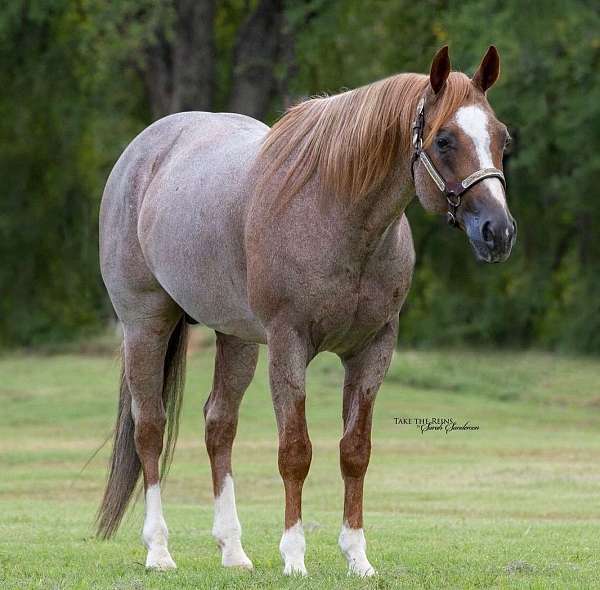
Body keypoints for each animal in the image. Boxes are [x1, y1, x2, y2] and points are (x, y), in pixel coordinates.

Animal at [97, 45, 516, 580]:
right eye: (444, 139)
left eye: (502, 137)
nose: (497, 232)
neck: (333, 214)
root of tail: (142, 152)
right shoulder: (289, 344)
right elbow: (295, 452)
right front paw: (294, 557)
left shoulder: (373, 348)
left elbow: (355, 452)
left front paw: (357, 556)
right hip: (145, 324)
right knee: (149, 427)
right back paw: (159, 550)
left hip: (236, 338)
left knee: (219, 426)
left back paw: (233, 551)